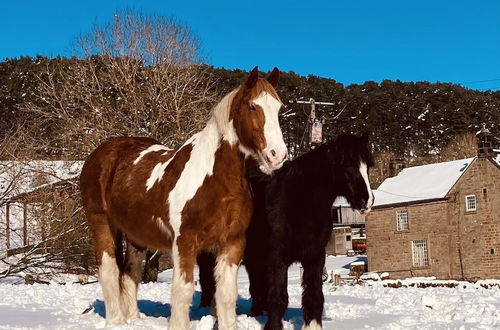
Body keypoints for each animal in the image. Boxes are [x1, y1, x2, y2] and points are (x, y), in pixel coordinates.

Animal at [80, 66, 288, 328]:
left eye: (278, 108)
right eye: (252, 106)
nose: (277, 155)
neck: (216, 181)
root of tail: (103, 152)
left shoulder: (232, 243)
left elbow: (226, 294)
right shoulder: (185, 242)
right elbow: (183, 291)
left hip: (136, 235)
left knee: (129, 274)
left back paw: (134, 318)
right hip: (101, 223)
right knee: (109, 271)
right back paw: (116, 321)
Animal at [197, 133, 374, 328]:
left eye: (368, 166)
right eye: (348, 166)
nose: (367, 201)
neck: (298, 203)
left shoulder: (314, 258)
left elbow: (314, 297)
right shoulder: (277, 259)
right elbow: (278, 299)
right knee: (209, 285)